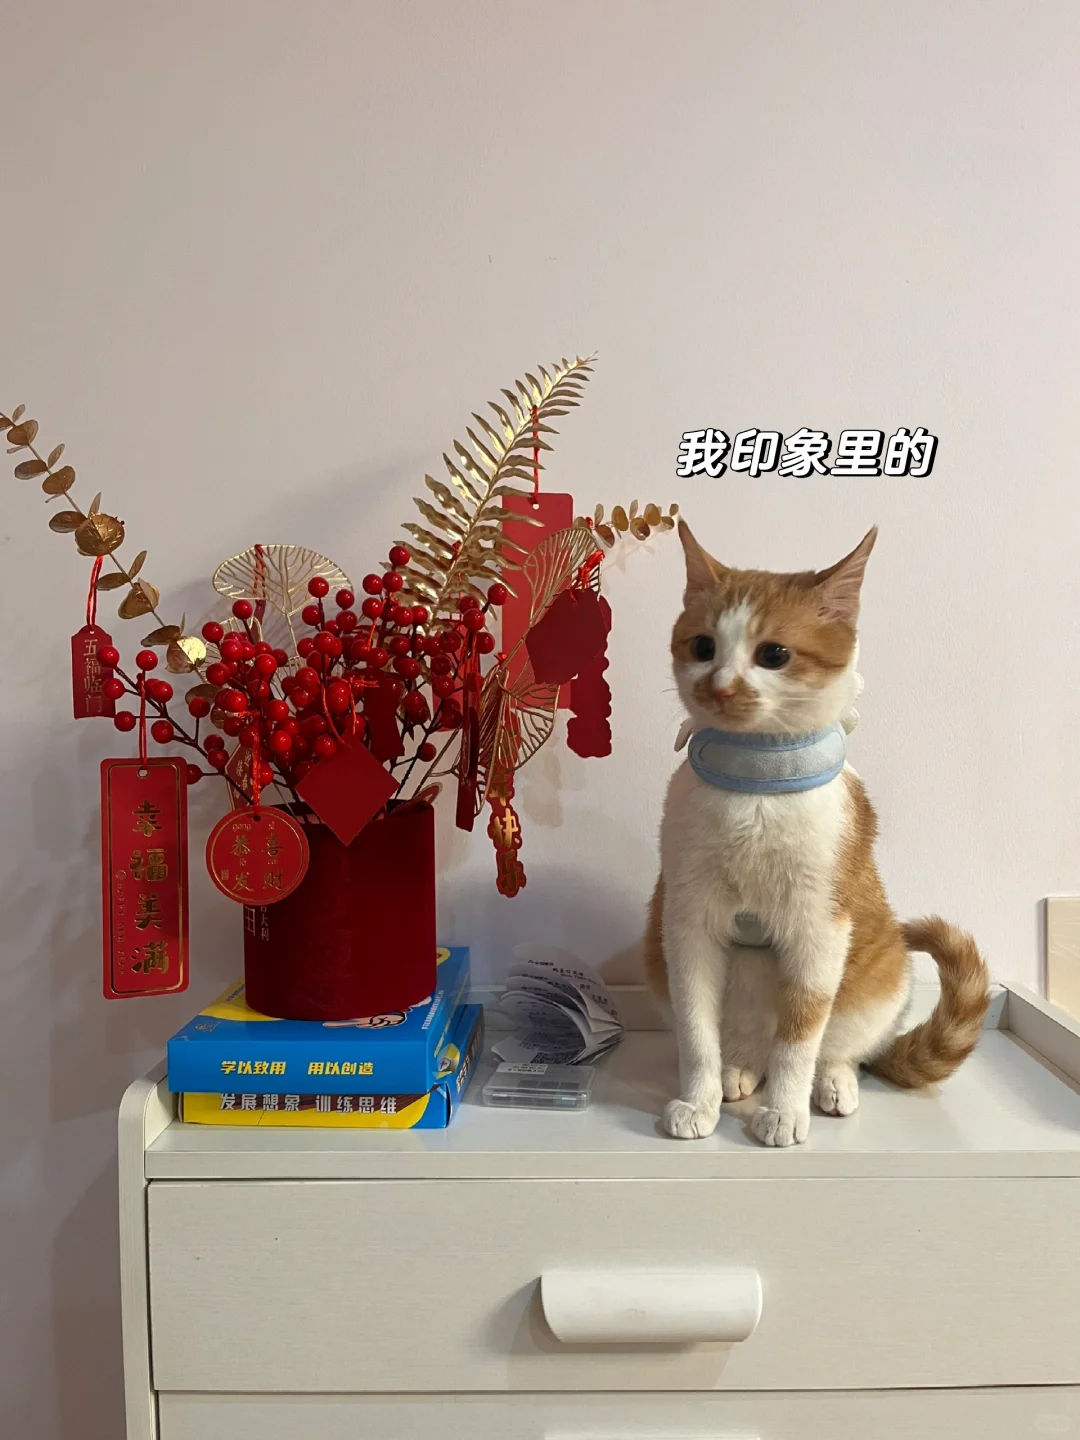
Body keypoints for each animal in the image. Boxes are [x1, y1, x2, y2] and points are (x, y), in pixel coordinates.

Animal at [645, 521, 989, 1147]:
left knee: (833, 1048)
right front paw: (698, 1101)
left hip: (878, 978)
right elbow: (696, 1032)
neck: (755, 784)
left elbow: (799, 1038)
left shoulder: (819, 930)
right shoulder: (685, 924)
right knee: (746, 1047)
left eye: (773, 654)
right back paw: (737, 1071)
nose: (721, 687)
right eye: (703, 647)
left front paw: (783, 1111)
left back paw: (831, 1084)